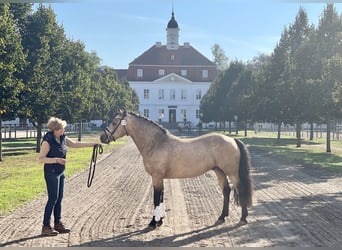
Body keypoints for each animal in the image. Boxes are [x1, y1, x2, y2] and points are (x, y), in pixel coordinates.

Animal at [100, 111, 252, 229]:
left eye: (114, 122)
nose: (102, 137)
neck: (156, 143)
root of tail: (232, 139)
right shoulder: (159, 178)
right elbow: (161, 197)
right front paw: (160, 221)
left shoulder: (156, 176)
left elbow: (156, 198)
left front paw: (153, 223)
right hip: (219, 171)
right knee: (226, 190)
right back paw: (222, 217)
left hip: (232, 173)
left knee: (240, 190)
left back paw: (243, 218)